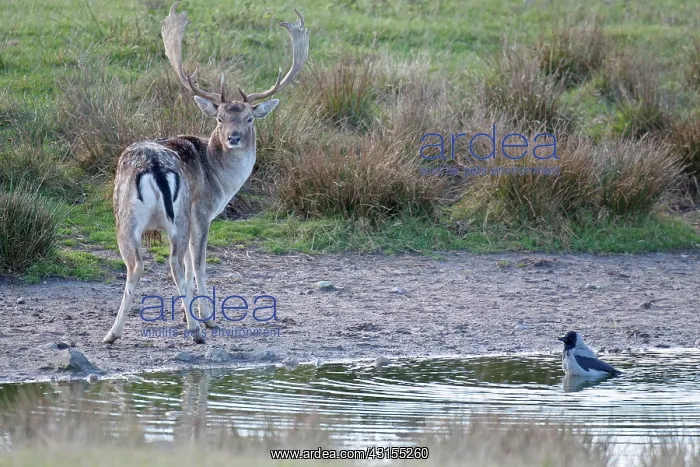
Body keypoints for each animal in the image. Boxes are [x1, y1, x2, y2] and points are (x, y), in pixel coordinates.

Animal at [103, 2, 309, 344]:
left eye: (249, 118)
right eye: (220, 118)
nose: (233, 138)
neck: (219, 179)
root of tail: (151, 166)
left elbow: (189, 264)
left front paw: (187, 312)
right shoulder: (202, 212)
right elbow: (196, 263)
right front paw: (206, 318)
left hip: (125, 216)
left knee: (136, 264)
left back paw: (112, 334)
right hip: (180, 215)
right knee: (174, 262)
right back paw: (197, 331)